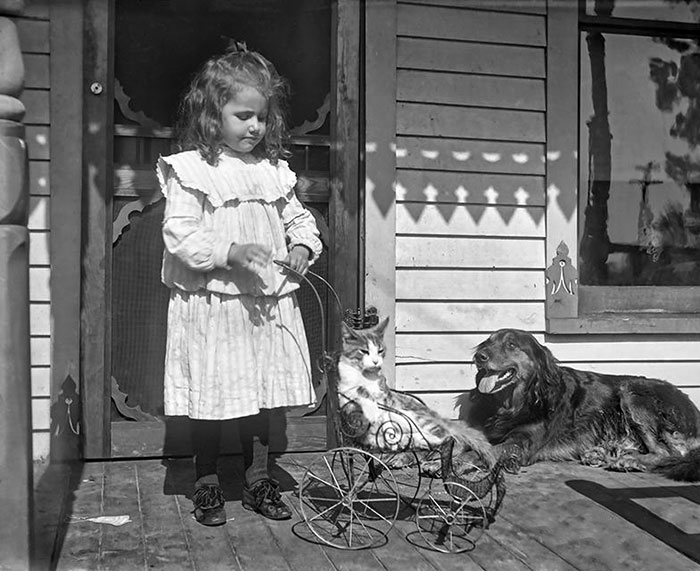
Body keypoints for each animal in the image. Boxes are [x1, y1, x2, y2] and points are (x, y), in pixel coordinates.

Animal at [456, 328, 700, 480]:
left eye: (511, 344)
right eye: (488, 342)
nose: (479, 356)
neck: (515, 404)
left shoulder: (520, 443)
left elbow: (483, 451)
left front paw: (459, 461)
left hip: (631, 391)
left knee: (669, 453)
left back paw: (628, 461)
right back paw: (602, 454)